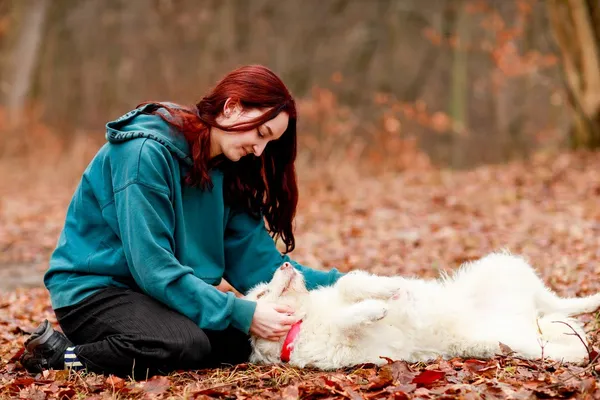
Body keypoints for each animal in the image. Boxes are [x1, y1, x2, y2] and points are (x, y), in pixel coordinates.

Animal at [245, 253, 600, 368]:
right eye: (260, 293)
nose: (285, 263)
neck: (308, 319)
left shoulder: (341, 292)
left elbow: (350, 283)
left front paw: (390, 290)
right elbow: (349, 320)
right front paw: (375, 308)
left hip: (503, 268)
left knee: (559, 304)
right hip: (522, 343)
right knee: (567, 335)